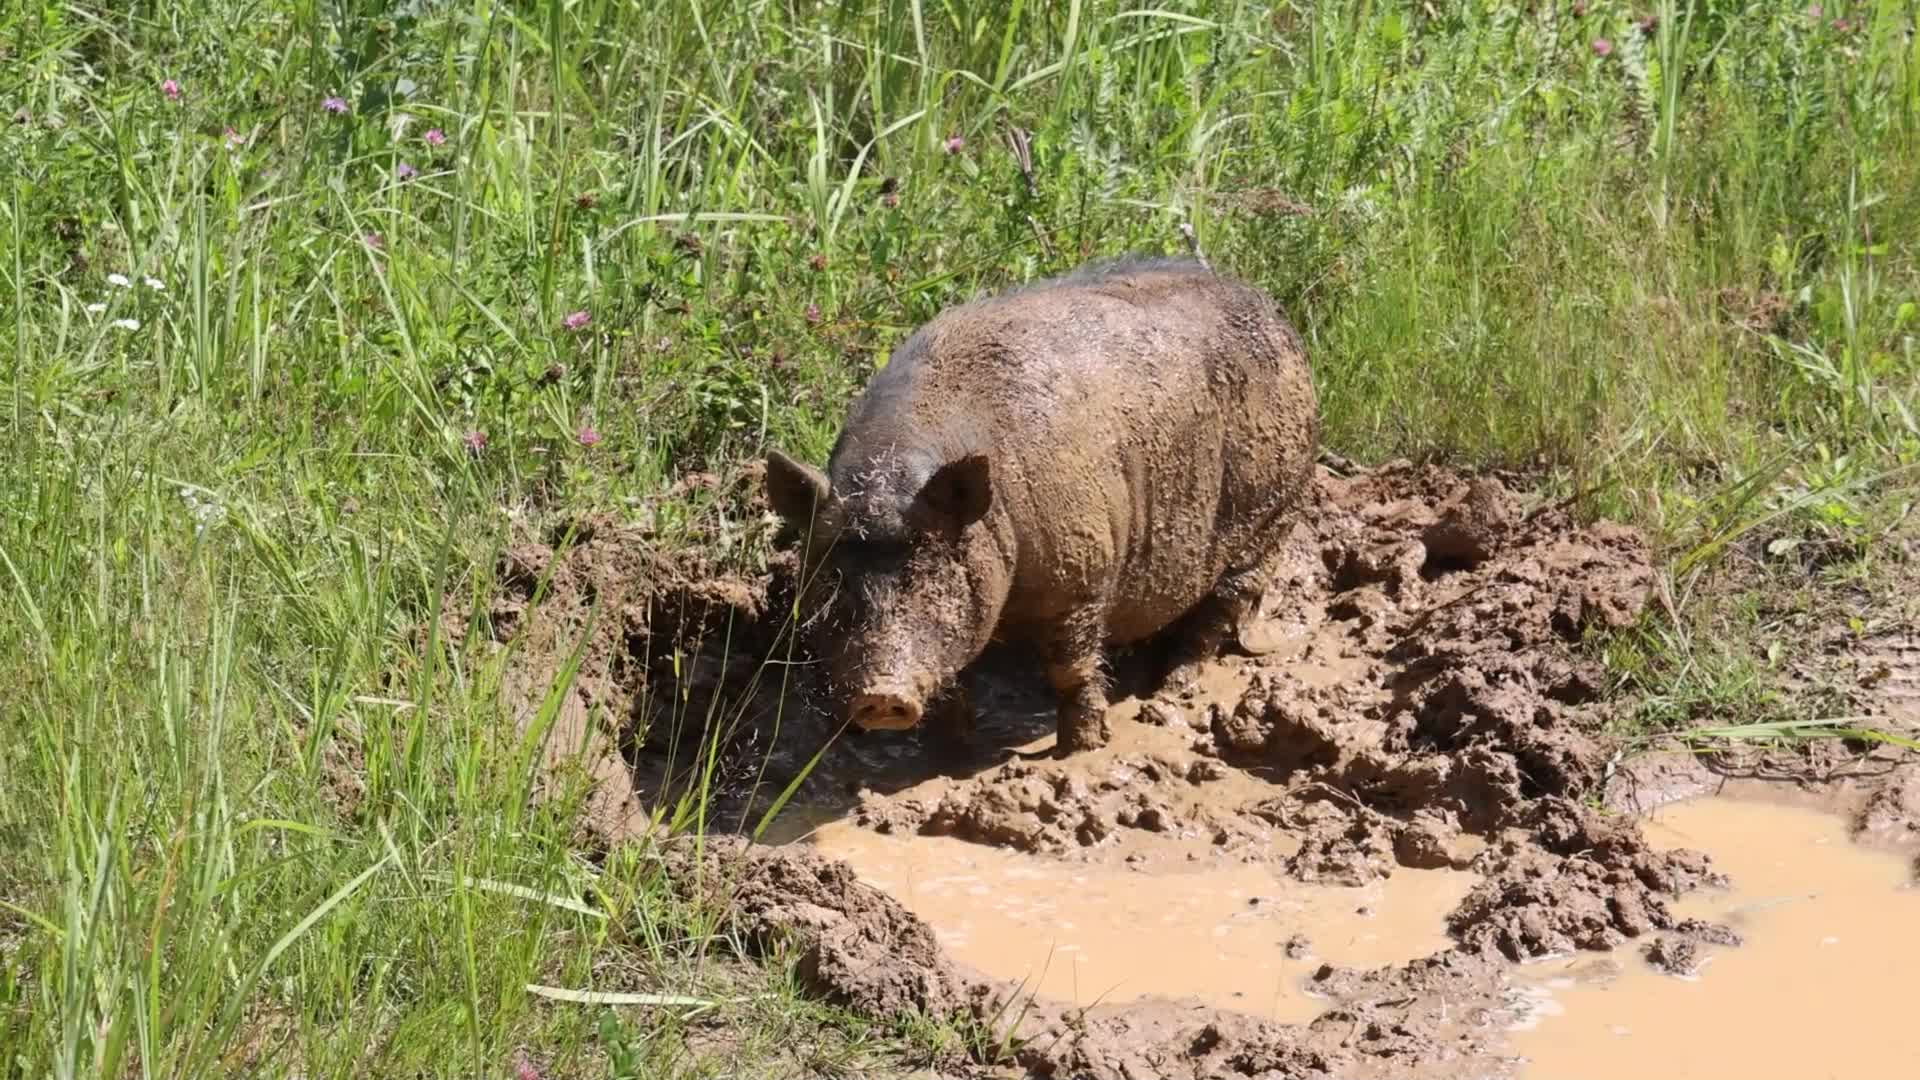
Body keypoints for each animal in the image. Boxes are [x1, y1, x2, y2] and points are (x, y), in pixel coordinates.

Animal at [764, 255, 1320, 753]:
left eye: (929, 572)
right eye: (834, 576)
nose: (881, 696)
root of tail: (1279, 317)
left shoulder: (1084, 574)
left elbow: (1070, 668)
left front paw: (1082, 748)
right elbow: (958, 677)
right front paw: (953, 750)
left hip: (1274, 512)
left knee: (1222, 608)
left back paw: (1170, 690)